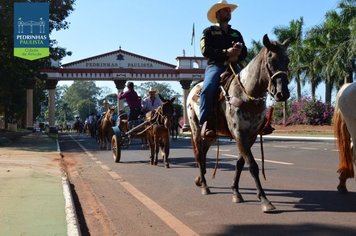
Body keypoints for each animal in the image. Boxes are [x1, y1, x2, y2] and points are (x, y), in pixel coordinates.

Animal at [186, 34, 290, 213]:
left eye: (288, 60)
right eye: (270, 60)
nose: (282, 93)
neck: (246, 94)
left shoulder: (251, 135)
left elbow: (240, 163)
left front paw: (236, 192)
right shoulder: (239, 133)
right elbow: (252, 165)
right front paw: (264, 200)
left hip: (211, 135)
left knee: (204, 153)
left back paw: (200, 178)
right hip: (195, 129)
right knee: (199, 154)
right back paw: (205, 186)